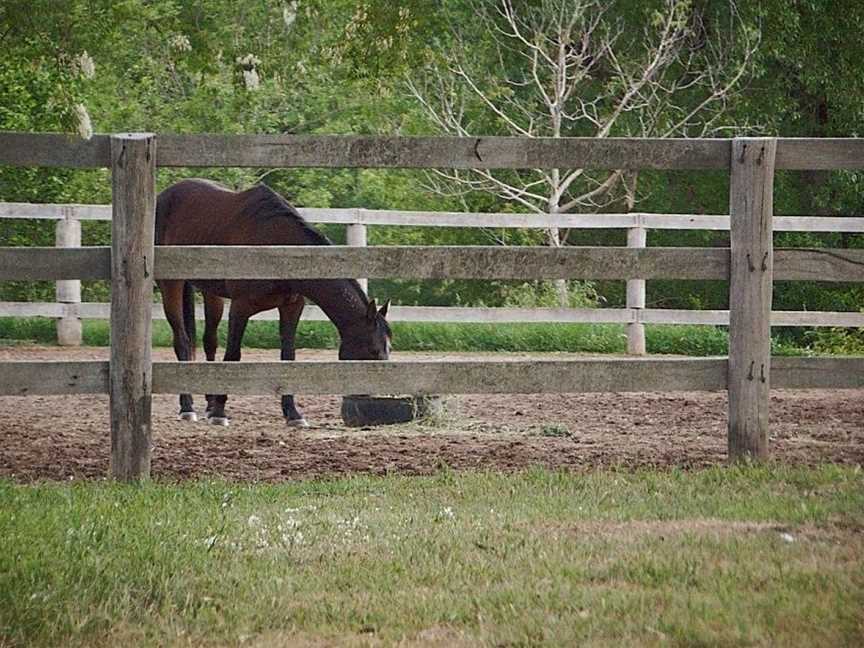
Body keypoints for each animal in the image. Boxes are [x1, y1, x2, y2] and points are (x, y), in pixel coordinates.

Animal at [156, 180, 392, 428]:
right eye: (374, 350)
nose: (373, 397)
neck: (277, 244)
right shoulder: (240, 307)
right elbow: (233, 356)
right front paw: (220, 412)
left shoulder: (291, 308)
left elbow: (288, 356)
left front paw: (293, 414)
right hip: (171, 285)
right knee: (182, 342)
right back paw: (188, 407)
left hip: (211, 292)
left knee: (209, 342)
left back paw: (209, 405)